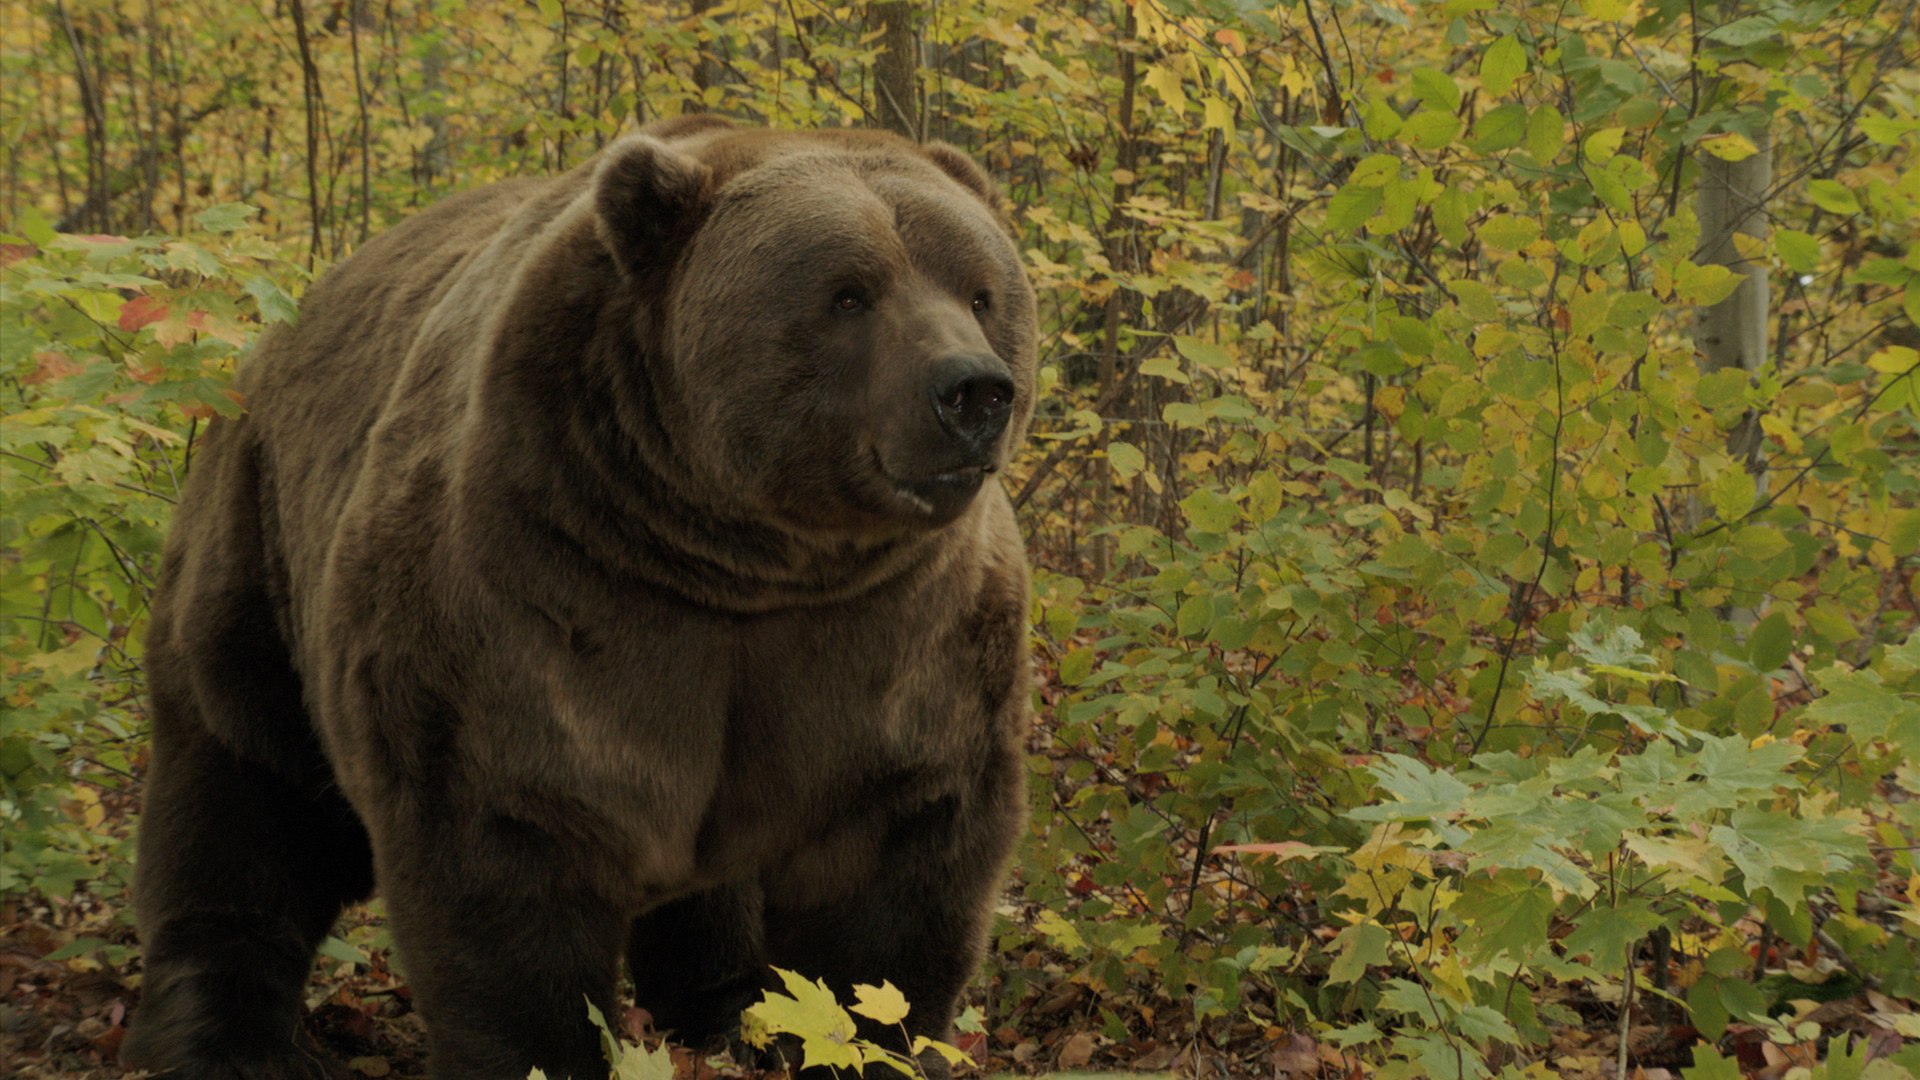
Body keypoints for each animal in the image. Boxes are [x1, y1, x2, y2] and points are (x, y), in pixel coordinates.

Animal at [120, 114, 1036, 1080]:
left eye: (981, 292)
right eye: (850, 294)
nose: (973, 390)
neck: (741, 559)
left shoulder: (893, 632)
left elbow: (897, 867)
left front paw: (872, 1037)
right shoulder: (540, 583)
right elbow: (507, 838)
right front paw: (541, 1049)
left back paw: (725, 1006)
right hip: (259, 537)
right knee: (244, 787)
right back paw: (219, 1036)